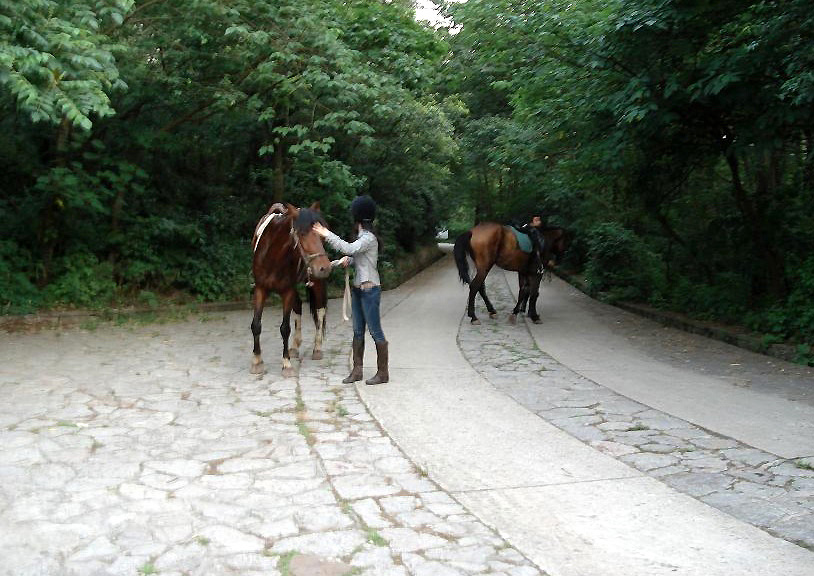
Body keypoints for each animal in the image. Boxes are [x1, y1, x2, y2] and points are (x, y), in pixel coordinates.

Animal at [252, 200, 334, 376]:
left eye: (322, 236)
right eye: (302, 234)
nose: (324, 267)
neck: (273, 257)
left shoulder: (287, 291)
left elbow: (285, 328)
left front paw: (287, 364)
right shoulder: (260, 289)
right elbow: (256, 325)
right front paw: (257, 361)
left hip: (317, 282)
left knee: (320, 310)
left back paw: (317, 349)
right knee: (298, 308)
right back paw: (295, 347)